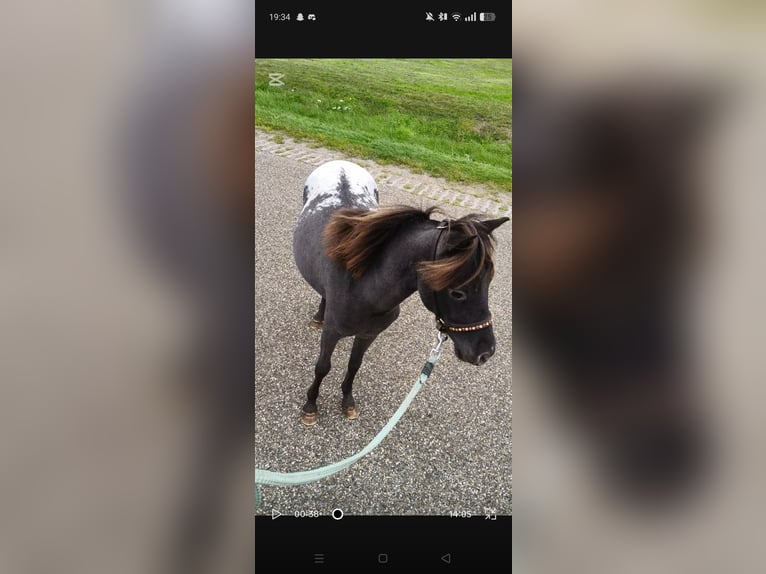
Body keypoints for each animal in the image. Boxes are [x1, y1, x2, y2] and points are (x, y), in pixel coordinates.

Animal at [292, 160, 509, 425]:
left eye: (489, 282)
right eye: (457, 293)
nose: (485, 352)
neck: (363, 287)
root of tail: (341, 163)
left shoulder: (368, 334)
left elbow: (355, 364)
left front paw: (348, 402)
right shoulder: (332, 333)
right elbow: (323, 366)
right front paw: (310, 406)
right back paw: (318, 317)